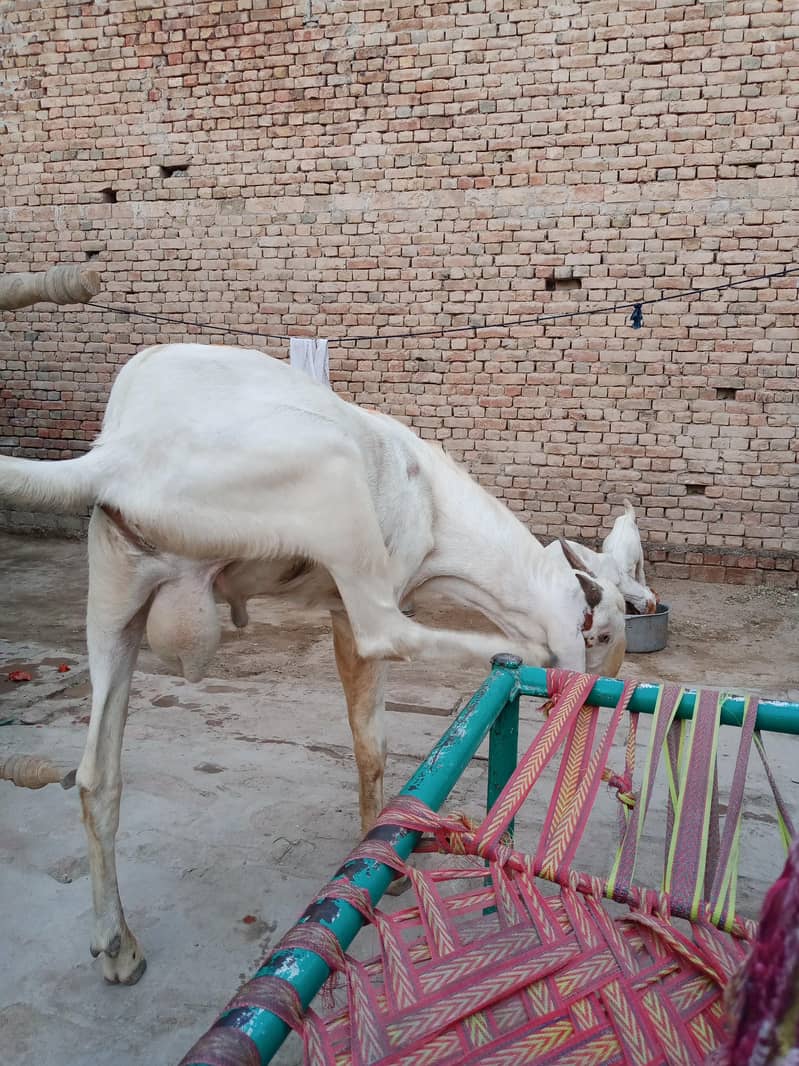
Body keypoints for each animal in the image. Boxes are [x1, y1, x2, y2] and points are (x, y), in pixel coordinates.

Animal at [0, 343, 626, 984]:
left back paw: (118, 945)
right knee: (388, 630)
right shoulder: (357, 603)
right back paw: (523, 654)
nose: (602, 683)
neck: (433, 498)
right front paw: (386, 865)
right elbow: (371, 737)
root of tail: (125, 452)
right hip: (334, 477)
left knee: (96, 776)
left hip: (112, 594)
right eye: (601, 632)